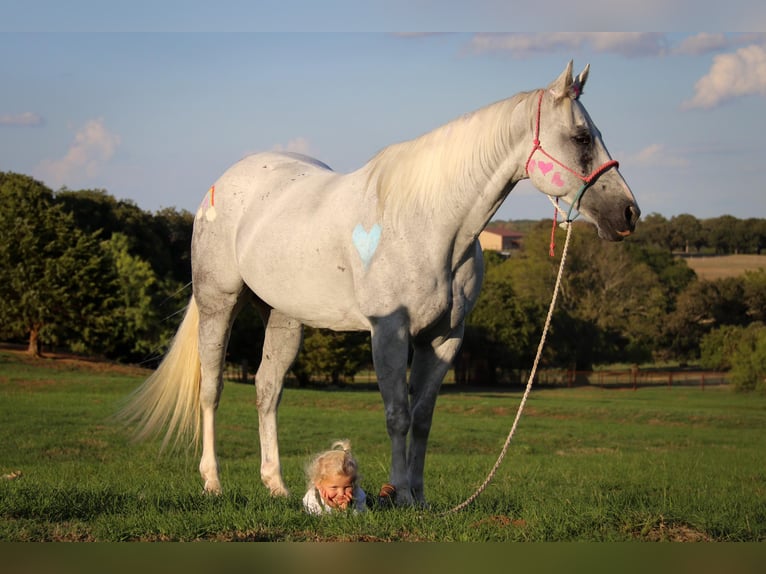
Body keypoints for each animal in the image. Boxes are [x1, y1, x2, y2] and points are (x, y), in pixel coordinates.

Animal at [121, 60, 640, 506]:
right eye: (580, 137)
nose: (628, 214)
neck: (432, 224)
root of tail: (223, 183)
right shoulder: (389, 331)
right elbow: (397, 414)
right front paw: (400, 494)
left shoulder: (445, 338)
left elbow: (424, 416)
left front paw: (420, 498)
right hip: (219, 303)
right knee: (211, 389)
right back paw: (212, 482)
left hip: (285, 316)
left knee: (268, 389)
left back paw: (277, 486)